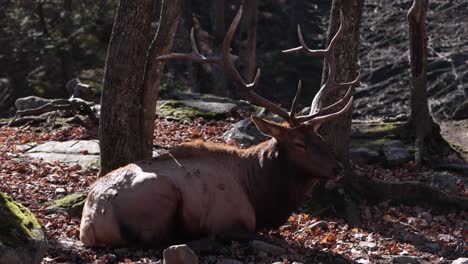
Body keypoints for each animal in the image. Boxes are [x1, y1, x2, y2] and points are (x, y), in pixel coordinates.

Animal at [79, 8, 358, 248]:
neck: (259, 193)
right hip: (160, 196)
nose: (338, 168)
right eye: (299, 143)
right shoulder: (230, 218)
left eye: (320, 138)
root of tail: (90, 224)